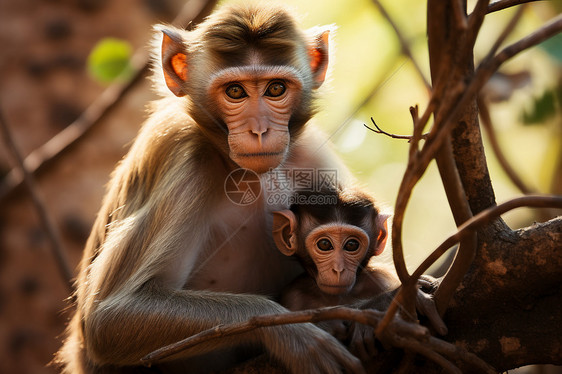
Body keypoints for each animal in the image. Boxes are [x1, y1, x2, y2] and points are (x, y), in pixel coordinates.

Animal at [55, 2, 364, 374]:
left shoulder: (310, 155)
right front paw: (295, 335)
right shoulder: (189, 161)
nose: (259, 130)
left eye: (276, 89)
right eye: (235, 92)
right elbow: (110, 319)